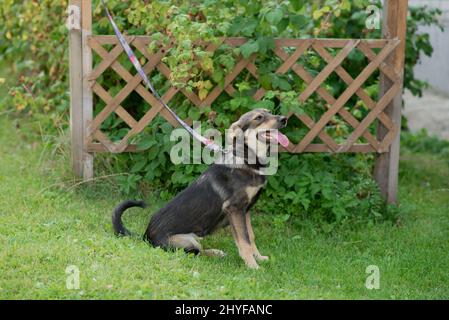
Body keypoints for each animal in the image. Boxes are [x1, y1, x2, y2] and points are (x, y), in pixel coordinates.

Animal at [111, 109, 288, 268]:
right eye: (258, 117)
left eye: (270, 112)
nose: (284, 119)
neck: (246, 159)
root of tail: (145, 236)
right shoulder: (235, 209)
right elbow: (244, 241)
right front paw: (252, 266)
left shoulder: (246, 211)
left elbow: (251, 237)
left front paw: (259, 258)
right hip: (186, 241)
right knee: (194, 254)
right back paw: (215, 254)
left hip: (196, 237)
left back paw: (216, 252)